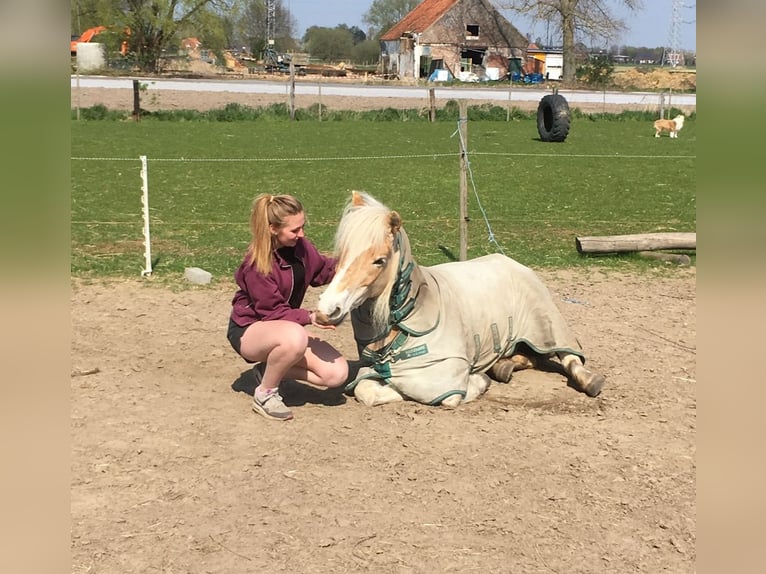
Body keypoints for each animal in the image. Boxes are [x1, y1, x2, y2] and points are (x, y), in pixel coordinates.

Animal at [314, 191, 608, 408]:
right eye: (342, 253)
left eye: (379, 260)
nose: (326, 310)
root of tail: (511, 261)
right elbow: (366, 390)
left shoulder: (441, 379)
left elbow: (433, 394)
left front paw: (477, 382)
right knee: (532, 358)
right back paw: (503, 367)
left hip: (548, 325)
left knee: (570, 358)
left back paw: (590, 381)